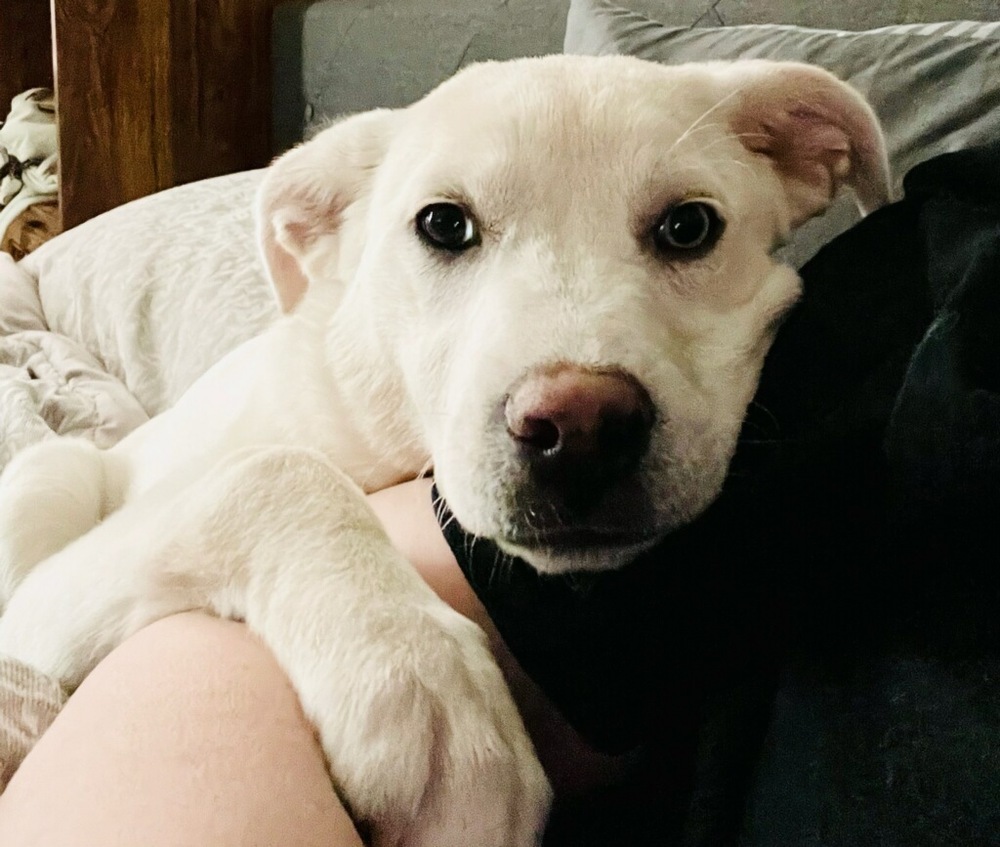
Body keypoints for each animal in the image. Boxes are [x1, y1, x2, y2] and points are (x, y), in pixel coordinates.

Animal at [0, 58, 892, 847]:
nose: (580, 429)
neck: (391, 434)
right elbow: (271, 468)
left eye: (690, 227)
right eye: (443, 224)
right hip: (53, 475)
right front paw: (420, 681)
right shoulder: (40, 603)